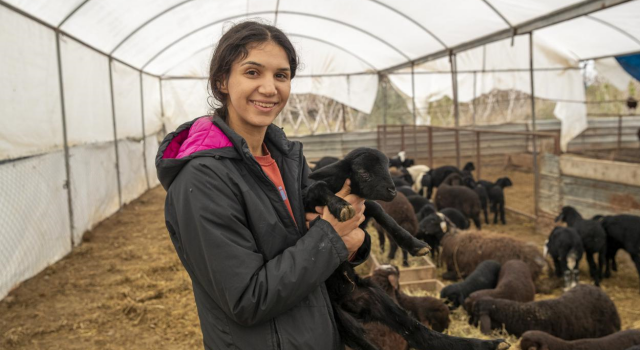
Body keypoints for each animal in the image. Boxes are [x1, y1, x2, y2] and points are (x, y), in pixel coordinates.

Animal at [304, 147, 510, 350]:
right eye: (364, 173)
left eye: (388, 168)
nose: (392, 191)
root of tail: (346, 297)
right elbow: (317, 187)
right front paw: (341, 206)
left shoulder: (365, 208)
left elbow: (380, 211)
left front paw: (415, 245)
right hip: (341, 318)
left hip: (374, 297)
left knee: (416, 332)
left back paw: (489, 344)